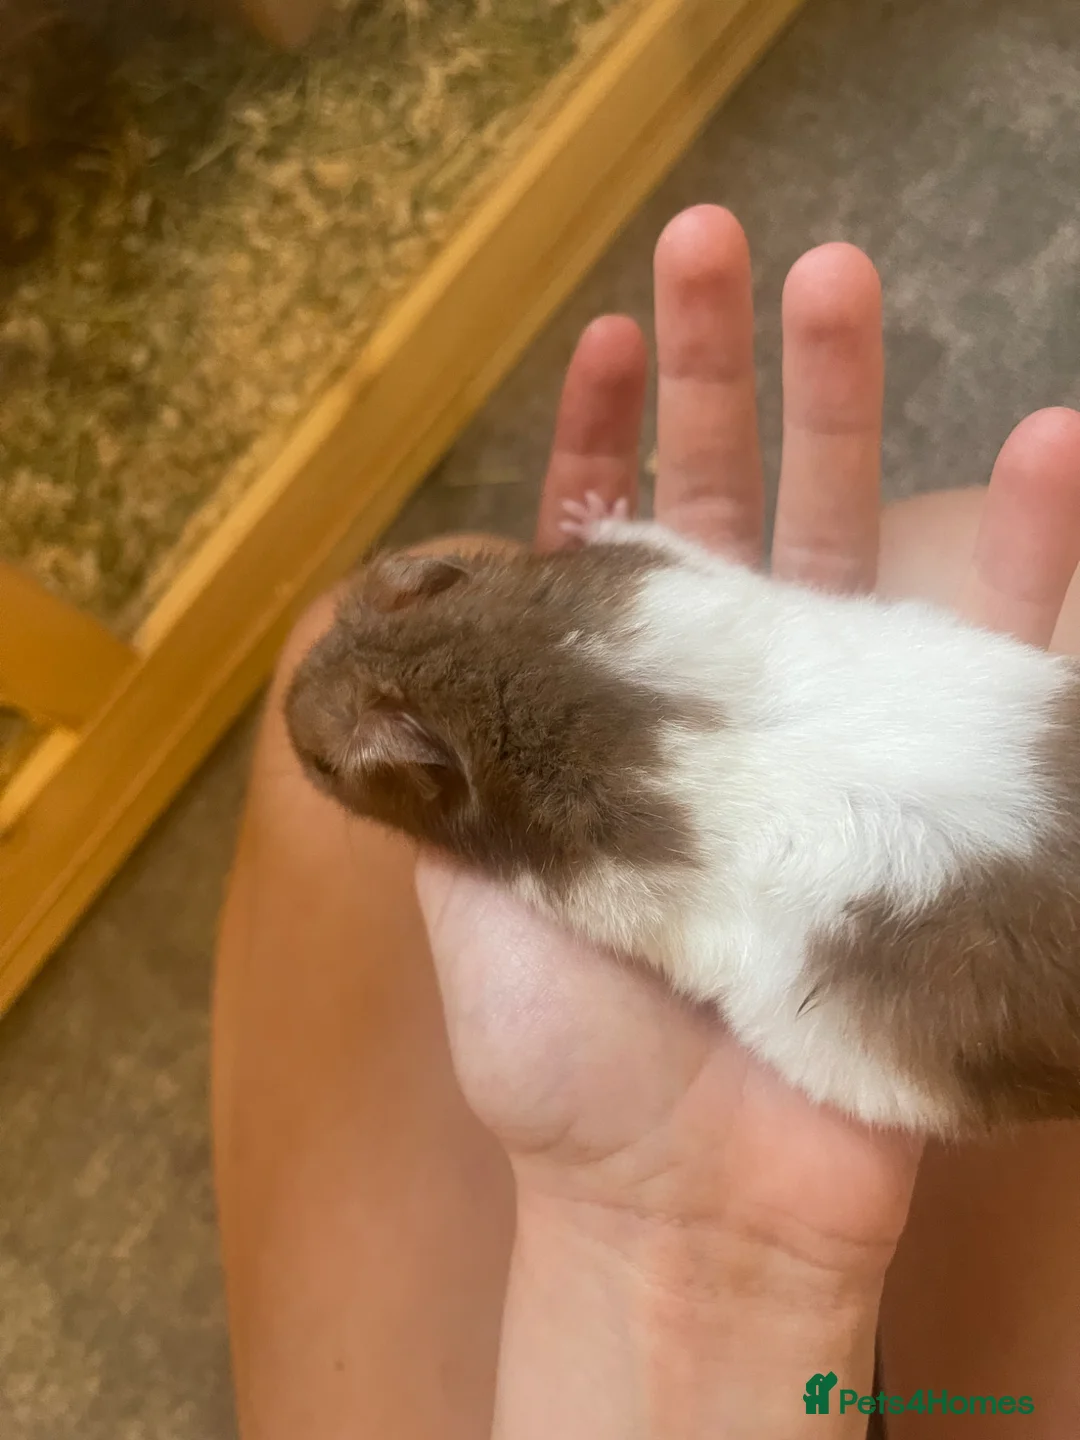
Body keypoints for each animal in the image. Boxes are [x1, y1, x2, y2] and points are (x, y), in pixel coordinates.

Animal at [284, 493, 1080, 1137]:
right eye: (319, 644)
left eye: (322, 765)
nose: (284, 710)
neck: (476, 660)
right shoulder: (666, 567)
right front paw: (585, 504)